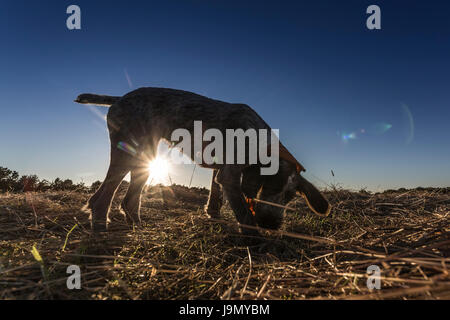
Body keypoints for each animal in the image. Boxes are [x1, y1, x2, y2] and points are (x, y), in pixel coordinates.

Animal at [75, 87, 330, 235]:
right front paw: (255, 239)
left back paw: (136, 224)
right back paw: (100, 224)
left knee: (128, 200)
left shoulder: (220, 171)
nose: (272, 224)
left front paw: (214, 215)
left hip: (145, 156)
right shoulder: (230, 175)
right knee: (103, 196)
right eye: (270, 187)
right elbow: (244, 212)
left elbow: (215, 195)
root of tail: (120, 98)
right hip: (129, 152)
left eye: (290, 197)